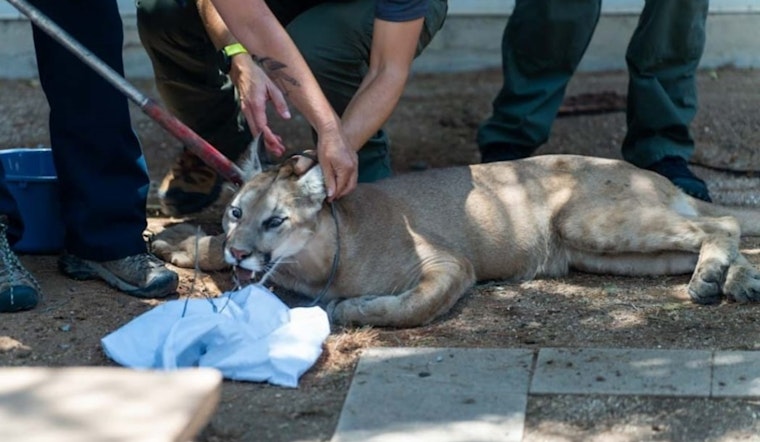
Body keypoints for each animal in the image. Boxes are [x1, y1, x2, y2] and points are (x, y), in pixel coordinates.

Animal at [151, 151, 760, 328]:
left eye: (274, 221)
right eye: (235, 213)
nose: (240, 247)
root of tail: (649, 173)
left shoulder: (450, 264)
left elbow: (412, 306)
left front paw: (352, 308)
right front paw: (183, 243)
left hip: (589, 221)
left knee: (721, 224)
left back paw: (714, 279)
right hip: (607, 252)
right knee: (712, 234)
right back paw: (732, 281)